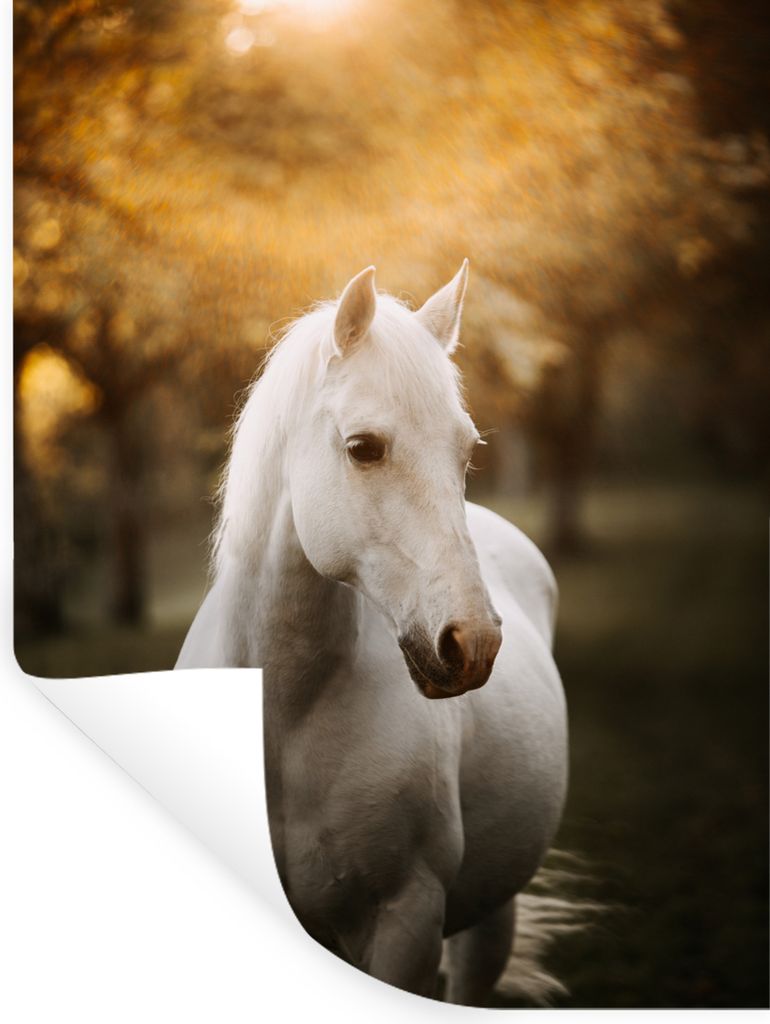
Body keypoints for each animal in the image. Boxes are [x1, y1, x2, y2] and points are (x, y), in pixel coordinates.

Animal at [176, 261, 570, 1005]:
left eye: (466, 450)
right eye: (363, 448)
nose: (472, 643)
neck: (284, 721)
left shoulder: (404, 924)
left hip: (489, 920)